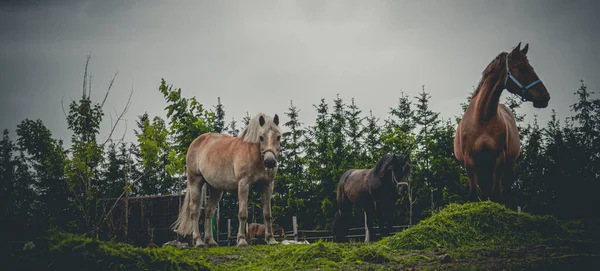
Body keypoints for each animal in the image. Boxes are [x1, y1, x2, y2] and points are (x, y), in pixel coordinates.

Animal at [169, 112, 282, 249]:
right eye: (261, 137)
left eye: (278, 137)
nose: (270, 162)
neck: (254, 155)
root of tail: (196, 142)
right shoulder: (243, 184)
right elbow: (243, 214)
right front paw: (241, 240)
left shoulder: (267, 185)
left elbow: (267, 214)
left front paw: (271, 239)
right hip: (195, 181)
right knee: (194, 211)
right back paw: (199, 241)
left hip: (216, 189)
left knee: (208, 211)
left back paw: (211, 241)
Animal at [454, 41, 548, 205]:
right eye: (522, 68)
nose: (545, 97)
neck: (482, 119)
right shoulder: (470, 161)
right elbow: (474, 195)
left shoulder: (499, 159)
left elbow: (496, 196)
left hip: (507, 167)